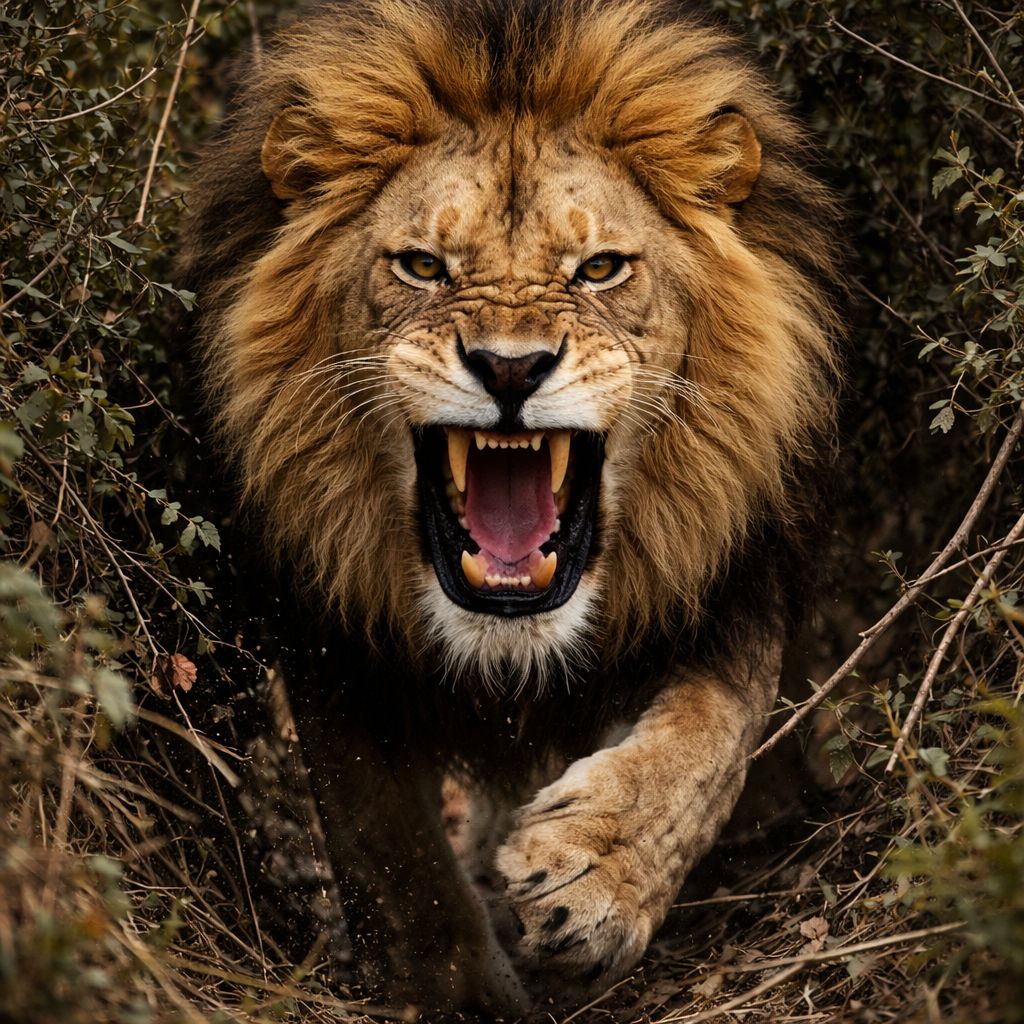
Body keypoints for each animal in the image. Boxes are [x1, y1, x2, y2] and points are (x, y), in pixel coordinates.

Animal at [180, 0, 843, 1012]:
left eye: (601, 268)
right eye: (422, 265)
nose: (510, 368)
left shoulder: (734, 575)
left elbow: (713, 736)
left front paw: (596, 879)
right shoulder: (329, 640)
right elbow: (392, 852)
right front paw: (460, 990)